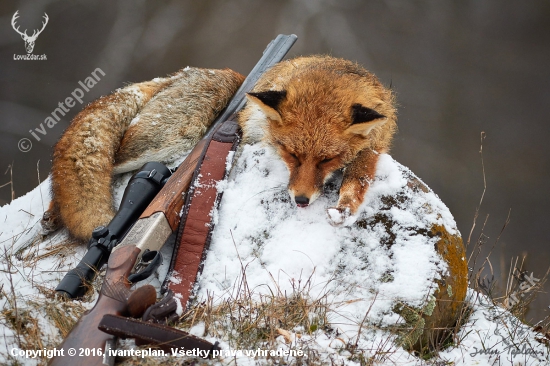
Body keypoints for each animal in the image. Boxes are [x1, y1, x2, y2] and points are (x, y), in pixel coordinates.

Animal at [43, 55, 396, 240]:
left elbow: (358, 182)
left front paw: (344, 209)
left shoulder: (373, 149)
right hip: (173, 137)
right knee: (98, 164)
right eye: (290, 153)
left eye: (328, 159)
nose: (301, 200)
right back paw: (56, 212)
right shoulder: (248, 132)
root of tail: (179, 75)